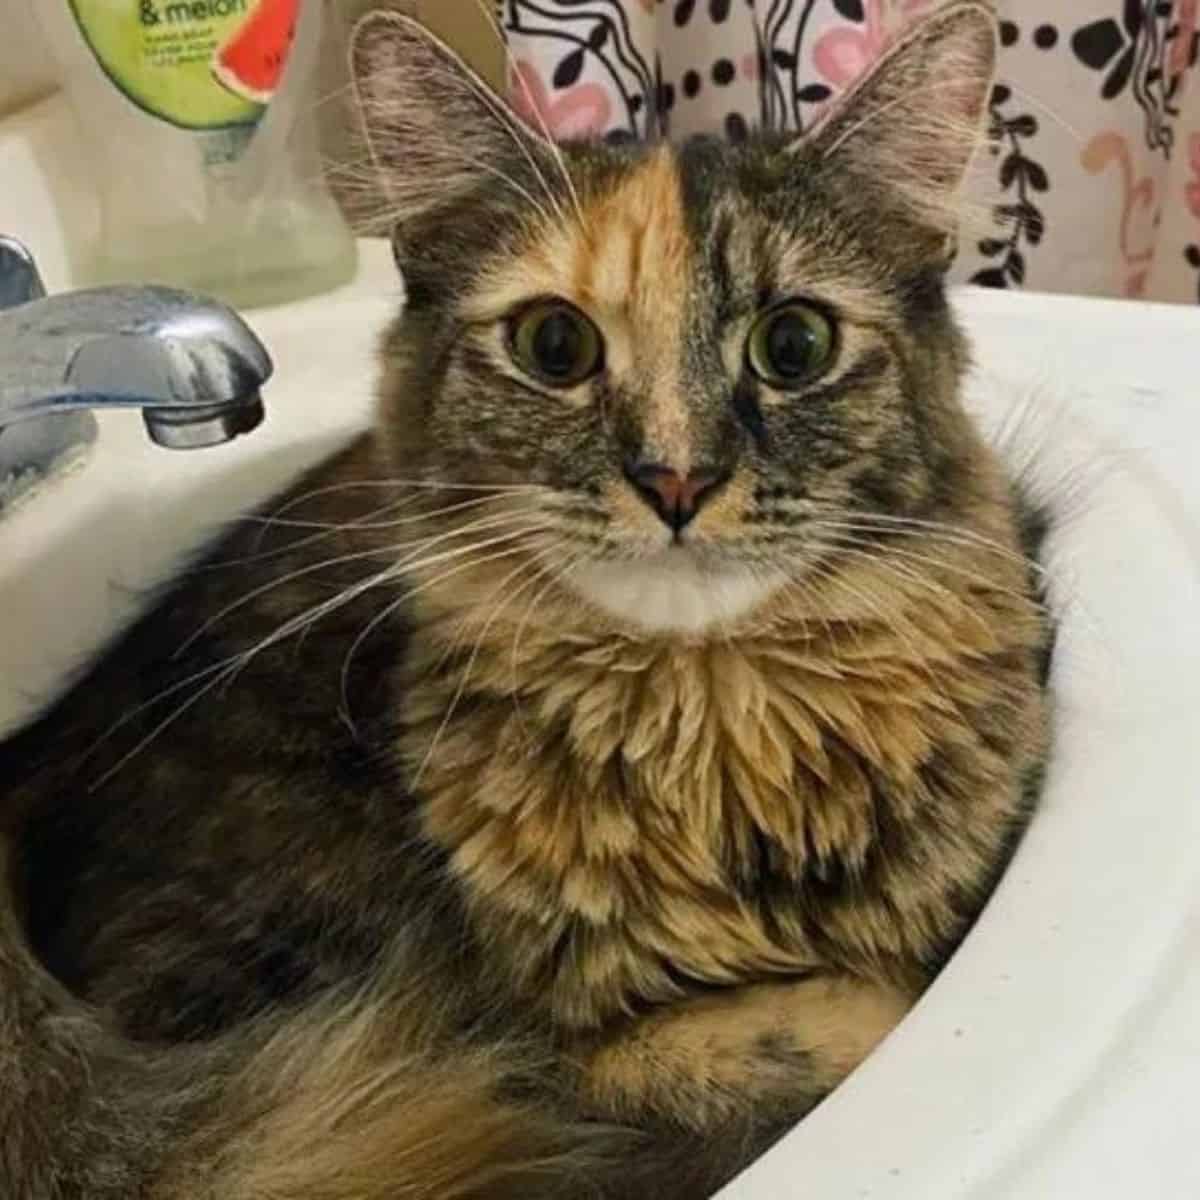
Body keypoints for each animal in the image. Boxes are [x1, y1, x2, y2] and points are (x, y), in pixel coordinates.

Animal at [0, 4, 1051, 1195]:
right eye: (556, 346)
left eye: (794, 346)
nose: (676, 481)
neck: (711, 751)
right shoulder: (503, 1052)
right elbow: (706, 1046)